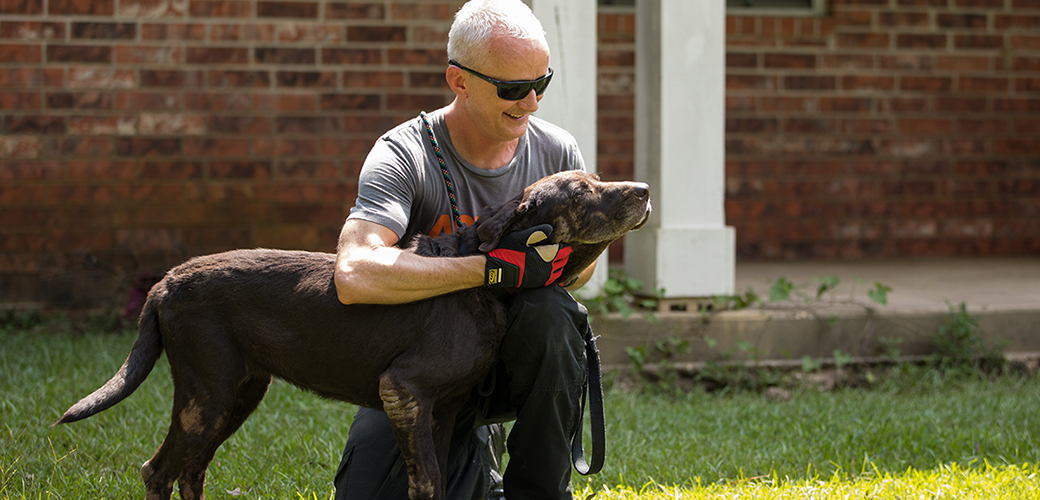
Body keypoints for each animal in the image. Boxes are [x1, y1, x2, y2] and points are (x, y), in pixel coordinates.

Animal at [54, 169, 648, 496]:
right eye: (581, 190)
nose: (644, 189)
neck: (490, 279)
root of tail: (166, 282)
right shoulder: (405, 390)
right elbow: (426, 481)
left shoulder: (442, 409)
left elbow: (434, 481)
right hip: (208, 394)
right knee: (158, 471)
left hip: (238, 394)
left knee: (189, 472)